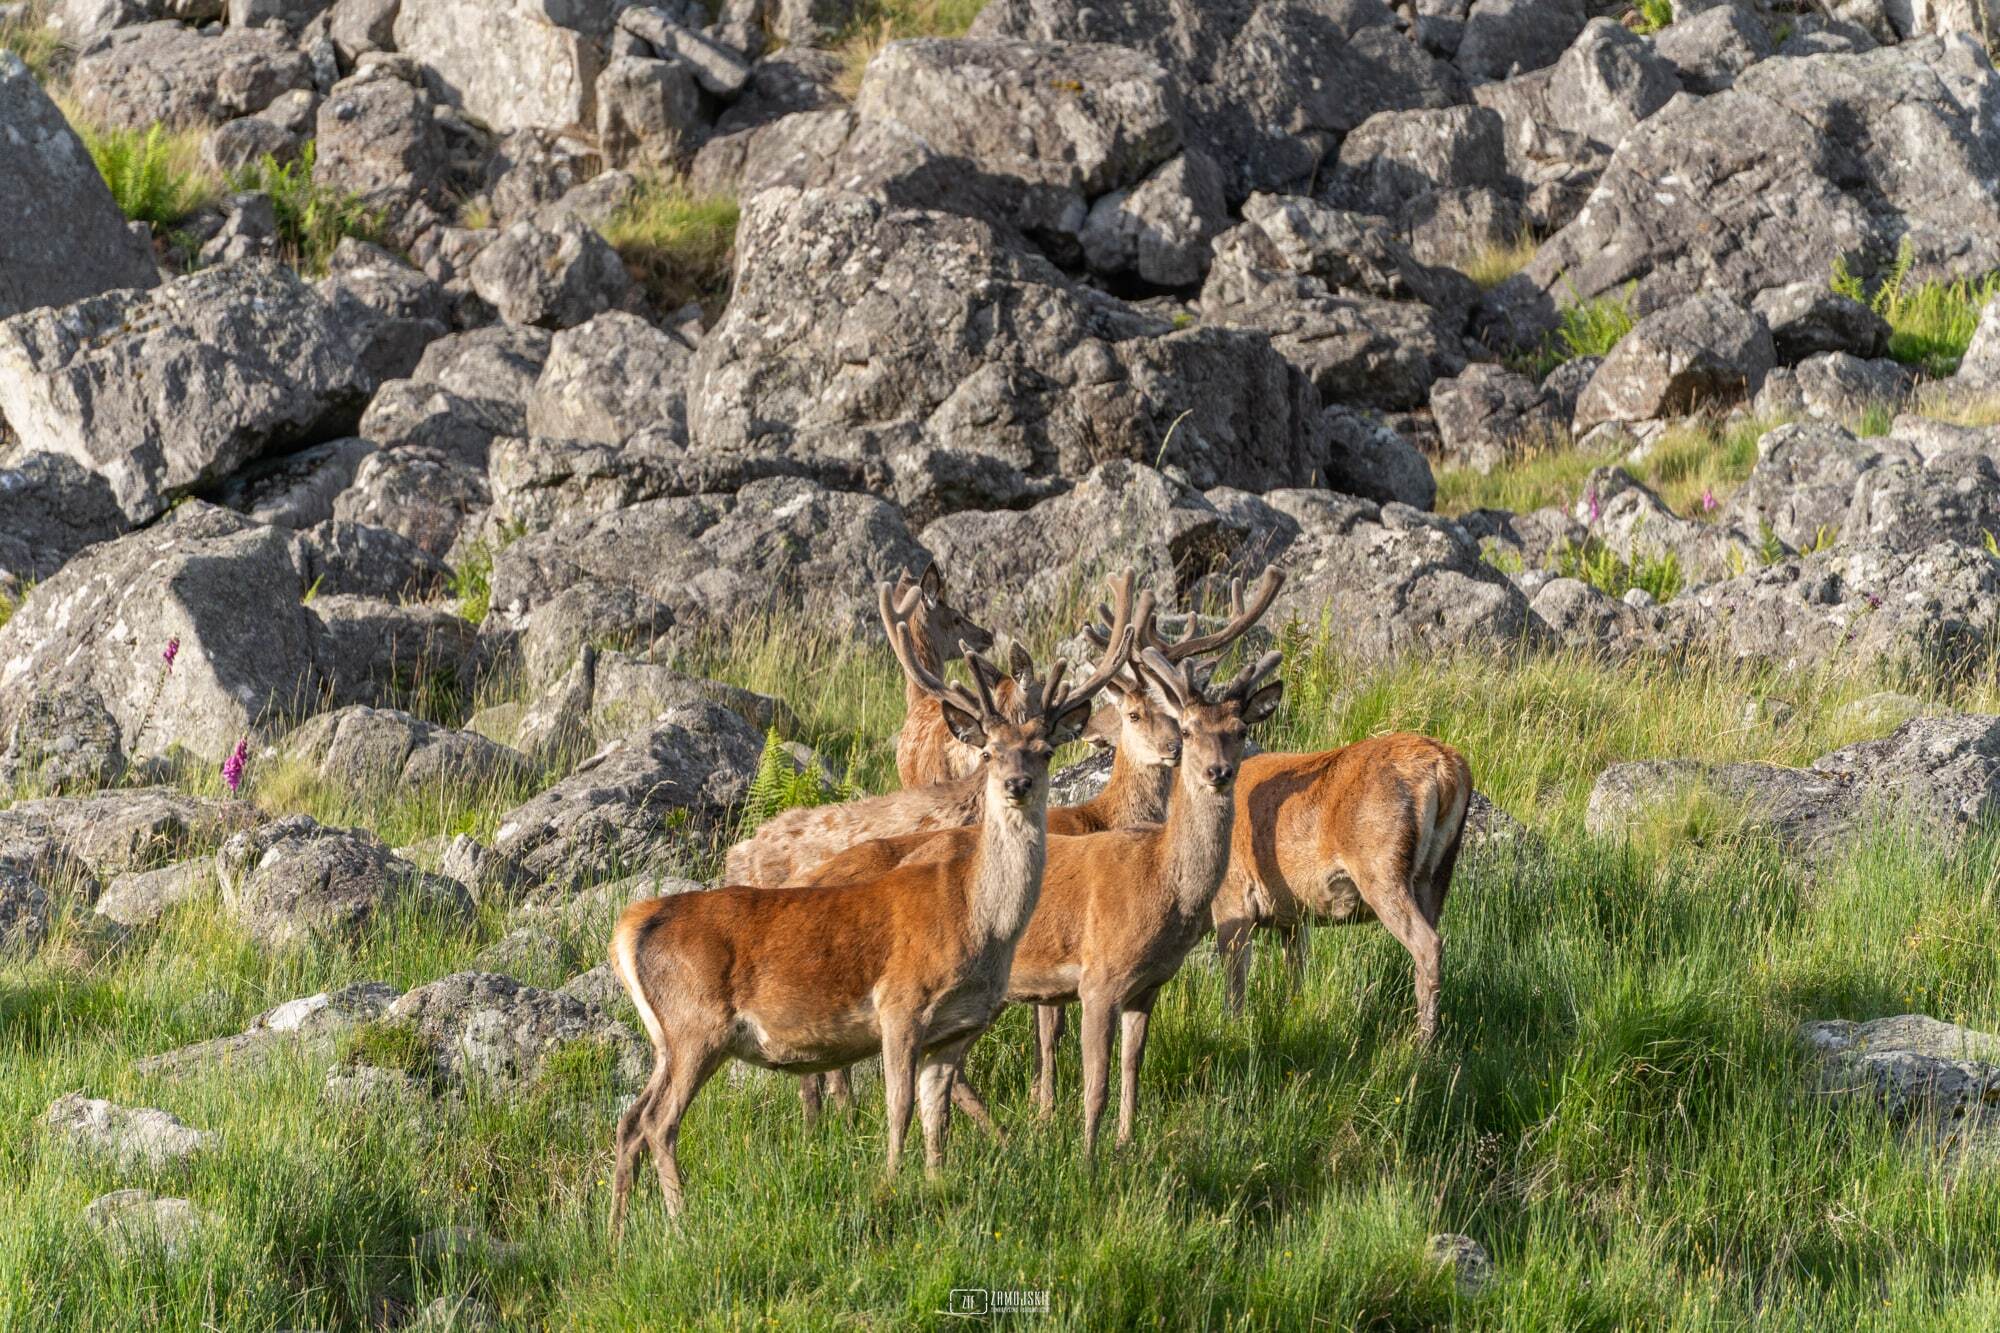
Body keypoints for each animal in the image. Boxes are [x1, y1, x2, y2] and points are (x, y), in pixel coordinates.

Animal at [1209, 735, 1472, 1042]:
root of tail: (1445, 767)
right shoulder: (1292, 914)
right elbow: (1296, 969)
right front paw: (1294, 1015)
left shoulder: (1232, 897)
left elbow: (1236, 973)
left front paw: (1232, 1029)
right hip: (1437, 874)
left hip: (1382, 866)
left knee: (1427, 943)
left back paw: (1422, 1043)